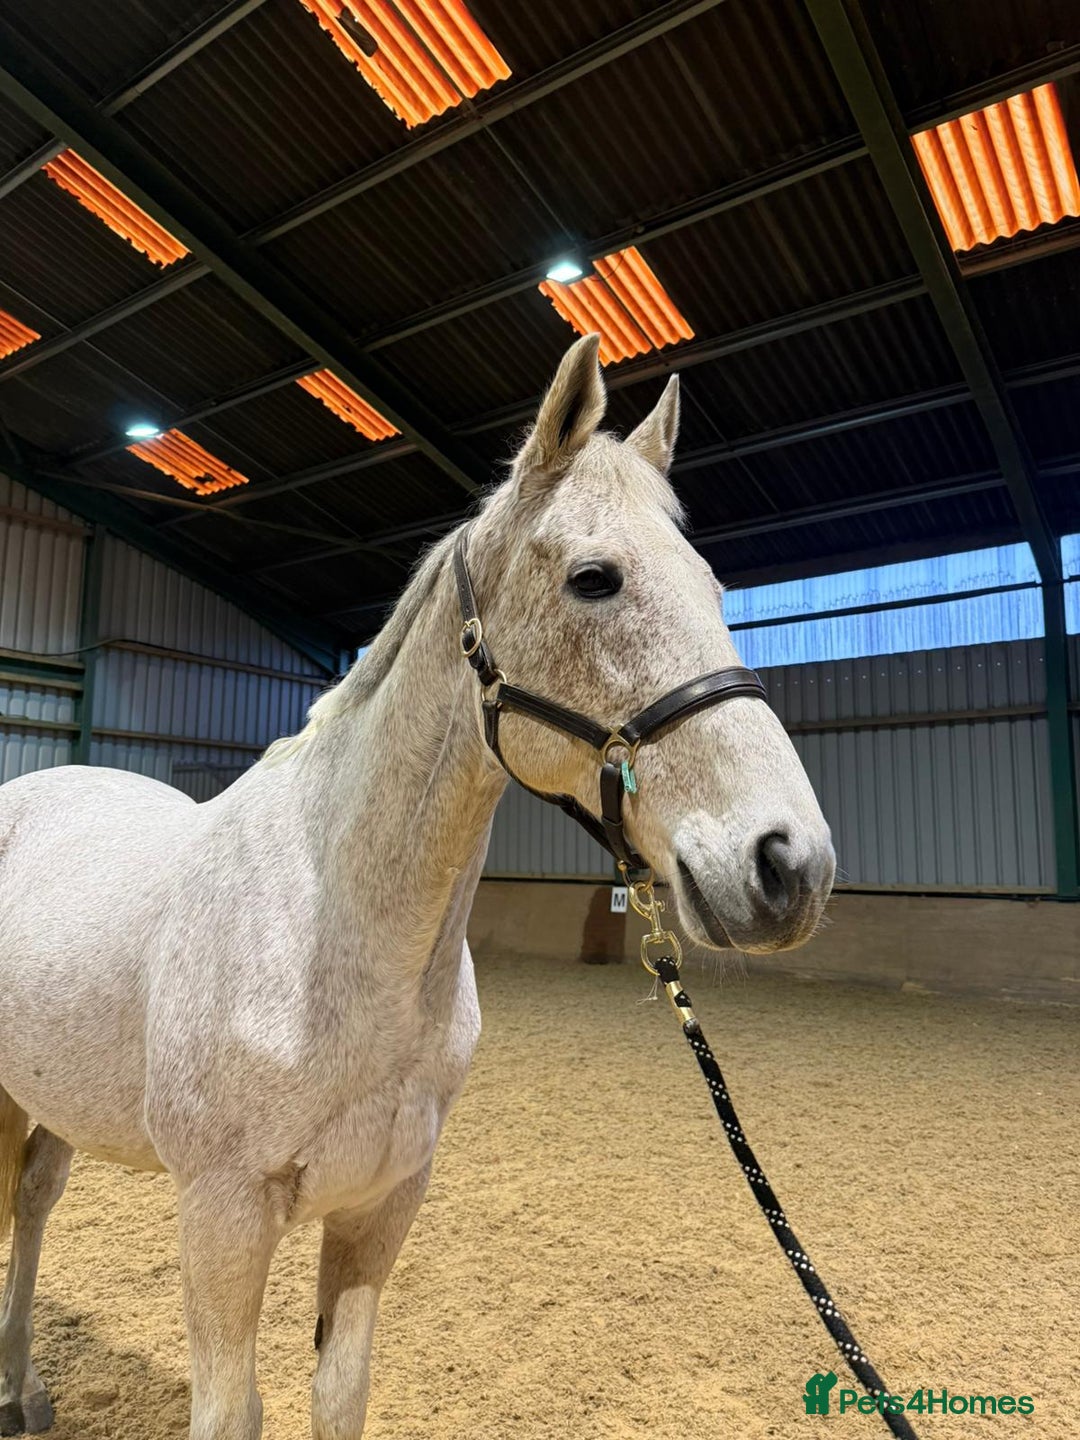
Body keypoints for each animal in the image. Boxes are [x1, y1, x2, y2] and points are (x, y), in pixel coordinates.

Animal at [0, 334, 835, 1439]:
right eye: (595, 579)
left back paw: (22, 1389)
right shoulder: (221, 1216)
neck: (332, 933)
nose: (791, 865)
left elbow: (341, 1392)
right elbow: (230, 1411)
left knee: (35, 1200)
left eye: (716, 589)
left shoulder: (380, 1208)